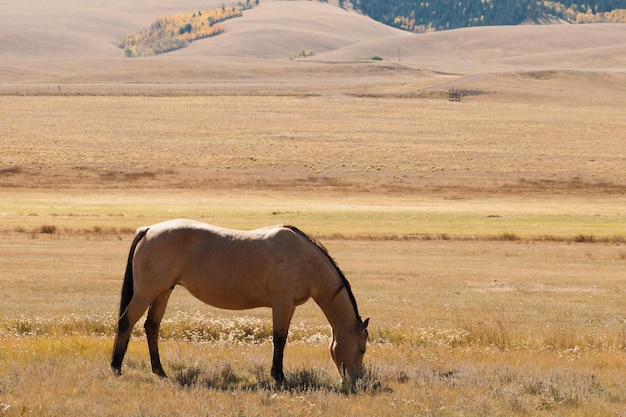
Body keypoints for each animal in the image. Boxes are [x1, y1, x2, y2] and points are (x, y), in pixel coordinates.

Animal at [110, 219, 368, 382]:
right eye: (362, 348)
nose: (357, 379)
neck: (304, 258)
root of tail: (149, 229)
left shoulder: (290, 306)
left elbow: (281, 339)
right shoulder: (281, 304)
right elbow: (279, 340)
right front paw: (279, 376)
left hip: (163, 292)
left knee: (151, 327)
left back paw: (159, 371)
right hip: (146, 292)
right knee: (126, 322)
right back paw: (115, 367)